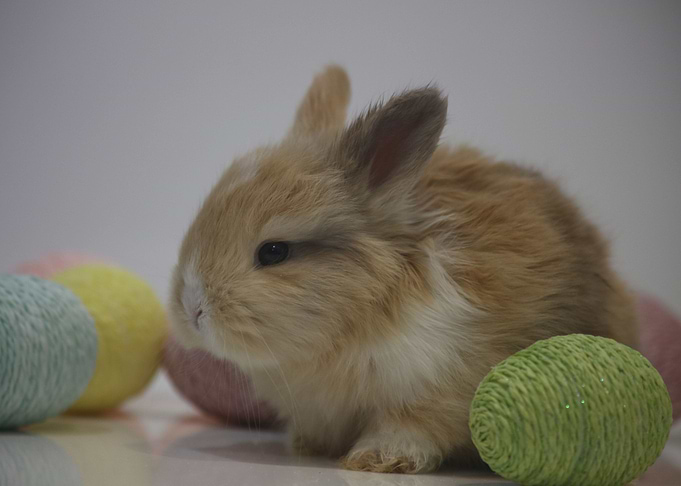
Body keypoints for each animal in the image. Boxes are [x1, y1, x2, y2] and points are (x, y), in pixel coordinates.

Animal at [168, 65, 639, 474]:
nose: (192, 309)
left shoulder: (435, 387)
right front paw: (306, 447)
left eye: (273, 252)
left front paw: (376, 460)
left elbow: (411, 427)